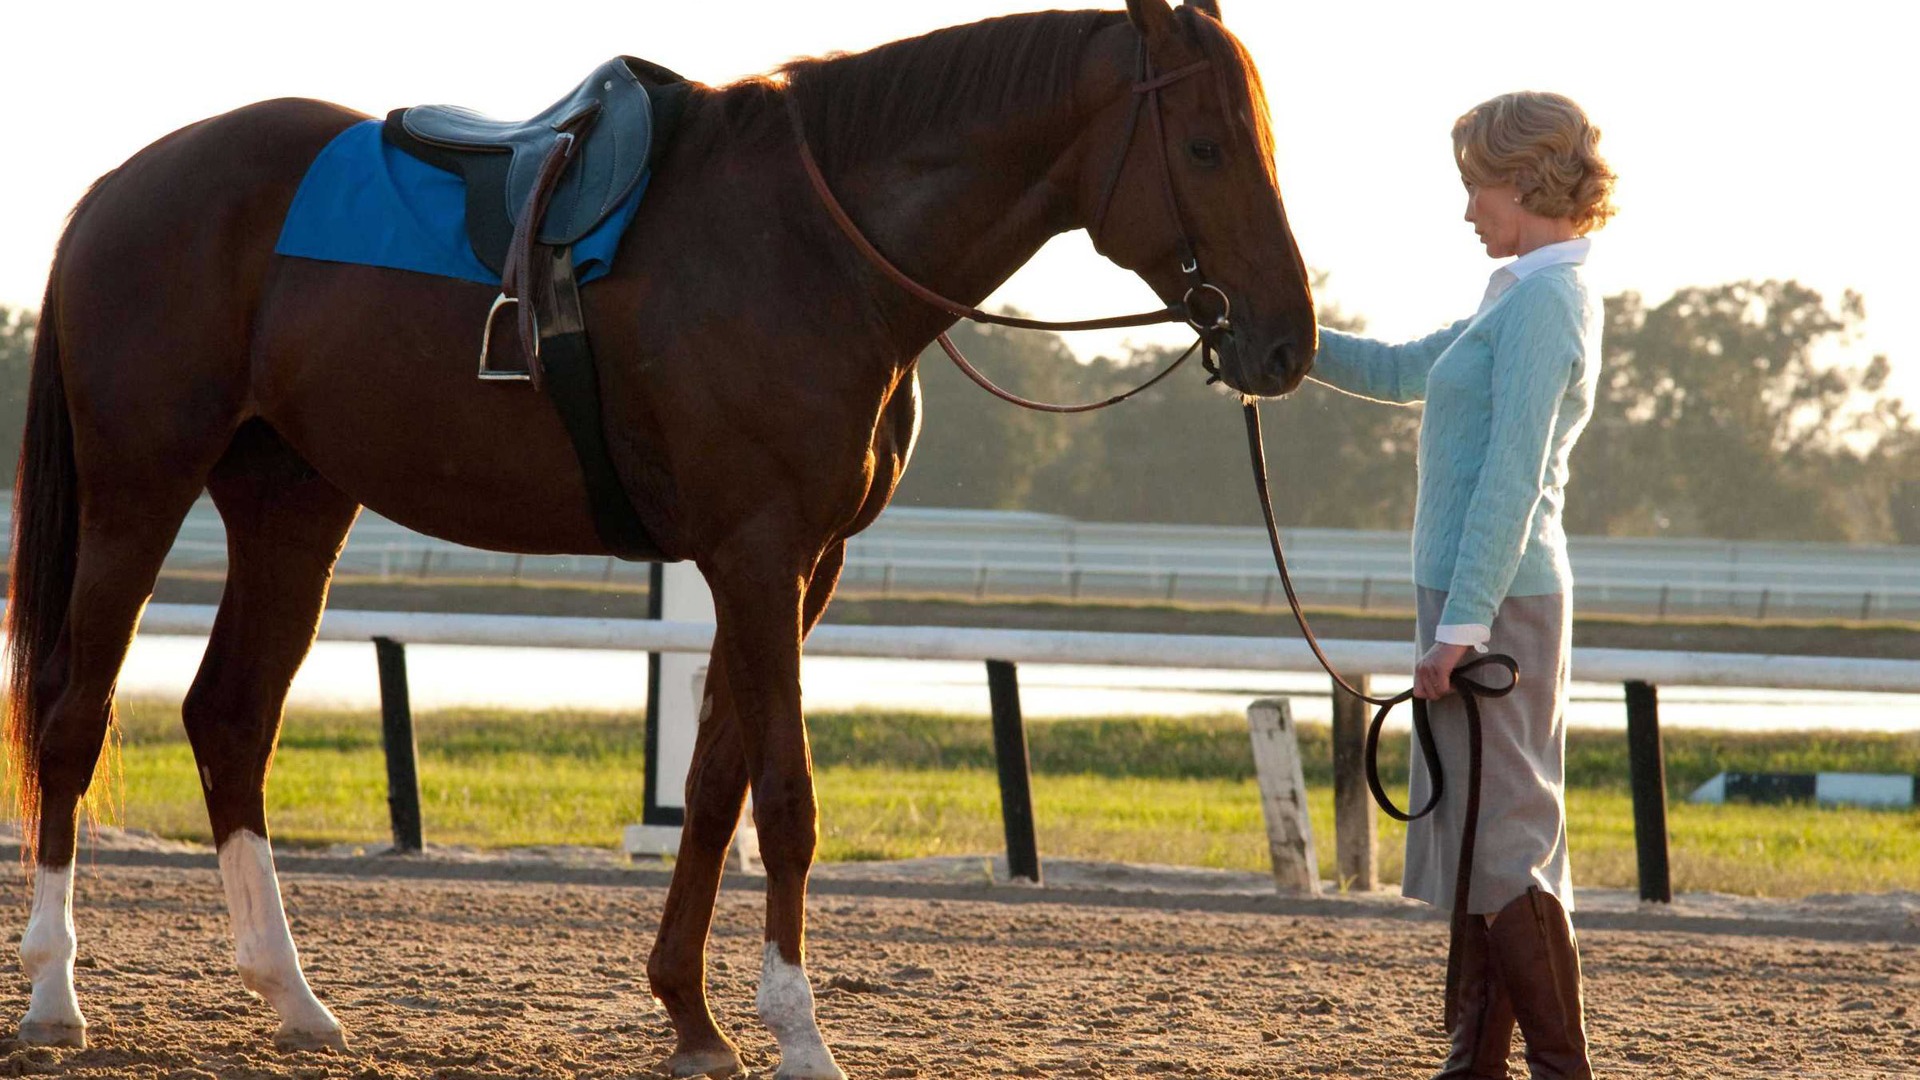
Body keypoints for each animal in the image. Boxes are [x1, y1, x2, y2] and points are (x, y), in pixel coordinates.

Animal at [3, 2, 1320, 1068]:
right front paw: (798, 1034)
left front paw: (691, 1015)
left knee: (230, 720)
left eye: (1264, 144)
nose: (1287, 342)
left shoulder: (799, 567)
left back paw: (293, 999)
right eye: (1205, 147)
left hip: (293, 505)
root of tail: (124, 185)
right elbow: (783, 796)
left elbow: (714, 783)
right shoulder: (758, 553)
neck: (818, 246)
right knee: (74, 717)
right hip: (139, 491)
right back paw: (58, 997)